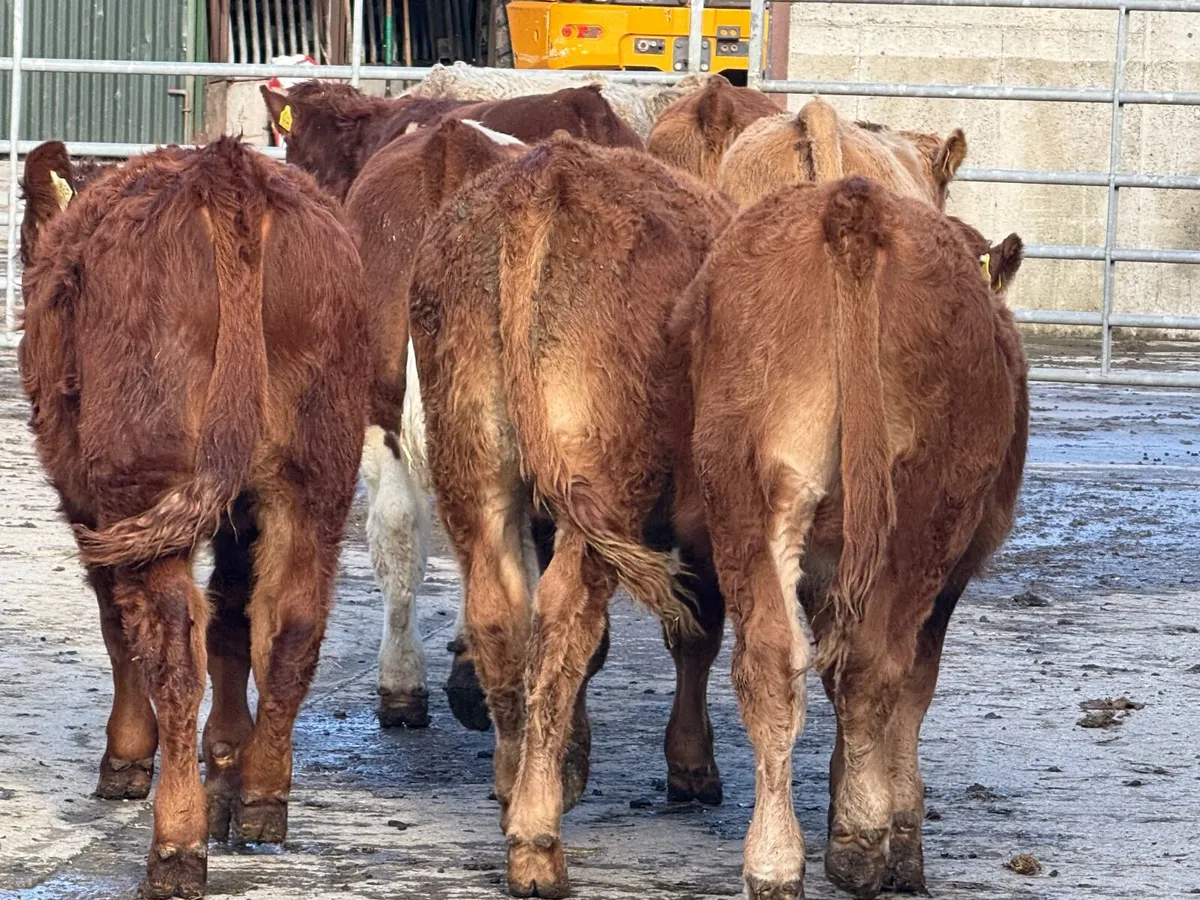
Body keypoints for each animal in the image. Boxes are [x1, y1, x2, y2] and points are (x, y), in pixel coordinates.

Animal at [18, 138, 369, 899]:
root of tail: (228, 170)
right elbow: (235, 616)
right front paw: (229, 755)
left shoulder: (89, 501)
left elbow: (118, 626)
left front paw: (126, 759)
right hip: (315, 477)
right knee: (291, 625)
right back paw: (262, 797)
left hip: (142, 481)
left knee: (173, 647)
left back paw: (177, 846)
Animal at [407, 134, 735, 897]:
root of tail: (541, 182)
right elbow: (695, 634)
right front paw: (691, 766)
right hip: (599, 486)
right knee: (563, 618)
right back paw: (537, 839)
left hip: (477, 468)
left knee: (502, 611)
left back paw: (512, 787)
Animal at [681, 175, 1027, 899]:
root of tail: (854, 205)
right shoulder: (946, 582)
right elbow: (910, 691)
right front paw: (898, 832)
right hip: (920, 516)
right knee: (877, 666)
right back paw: (860, 846)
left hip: (746, 495)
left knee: (772, 664)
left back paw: (774, 860)